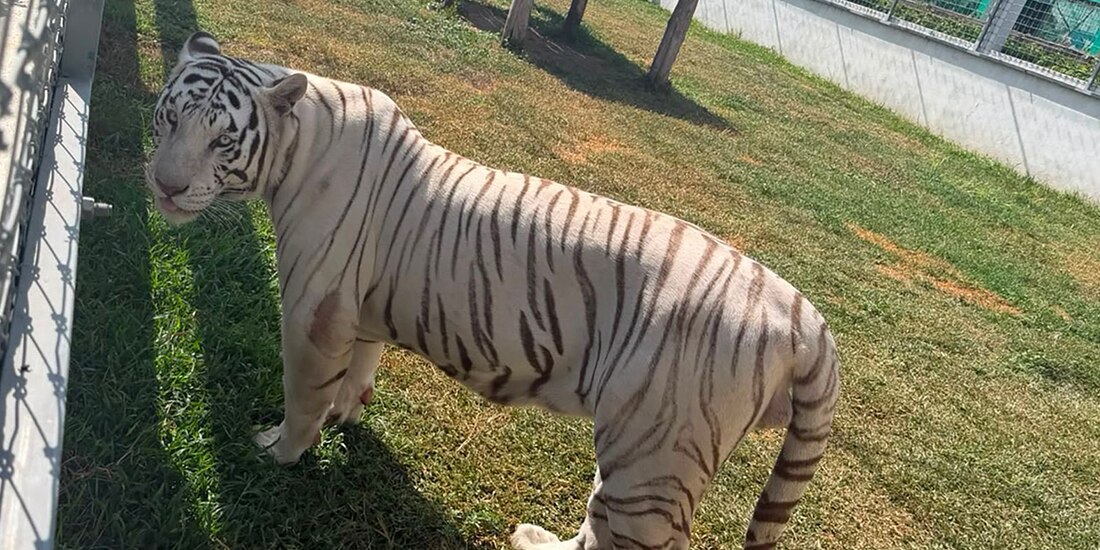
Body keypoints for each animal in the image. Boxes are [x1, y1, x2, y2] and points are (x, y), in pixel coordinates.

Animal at [146, 31, 841, 550]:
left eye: (222, 139)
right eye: (169, 117)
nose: (164, 186)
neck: (296, 146)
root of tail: (804, 316)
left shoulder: (313, 312)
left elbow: (302, 396)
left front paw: (280, 451)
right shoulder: (360, 308)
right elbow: (359, 369)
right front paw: (349, 414)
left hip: (655, 457)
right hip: (635, 453)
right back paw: (536, 538)